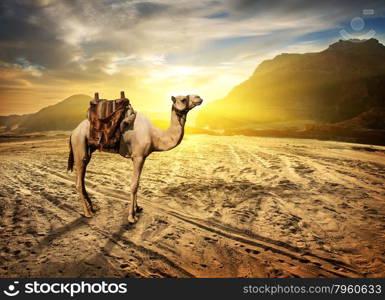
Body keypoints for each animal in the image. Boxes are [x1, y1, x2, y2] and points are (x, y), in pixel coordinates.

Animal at [67, 94, 202, 223]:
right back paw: (87, 212)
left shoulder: (141, 157)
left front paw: (137, 208)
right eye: (183, 99)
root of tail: (73, 132)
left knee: (82, 179)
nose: (199, 97)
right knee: (79, 182)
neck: (155, 136)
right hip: (79, 144)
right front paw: (131, 217)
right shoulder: (138, 156)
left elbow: (138, 183)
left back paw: (93, 207)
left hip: (87, 150)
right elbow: (134, 185)